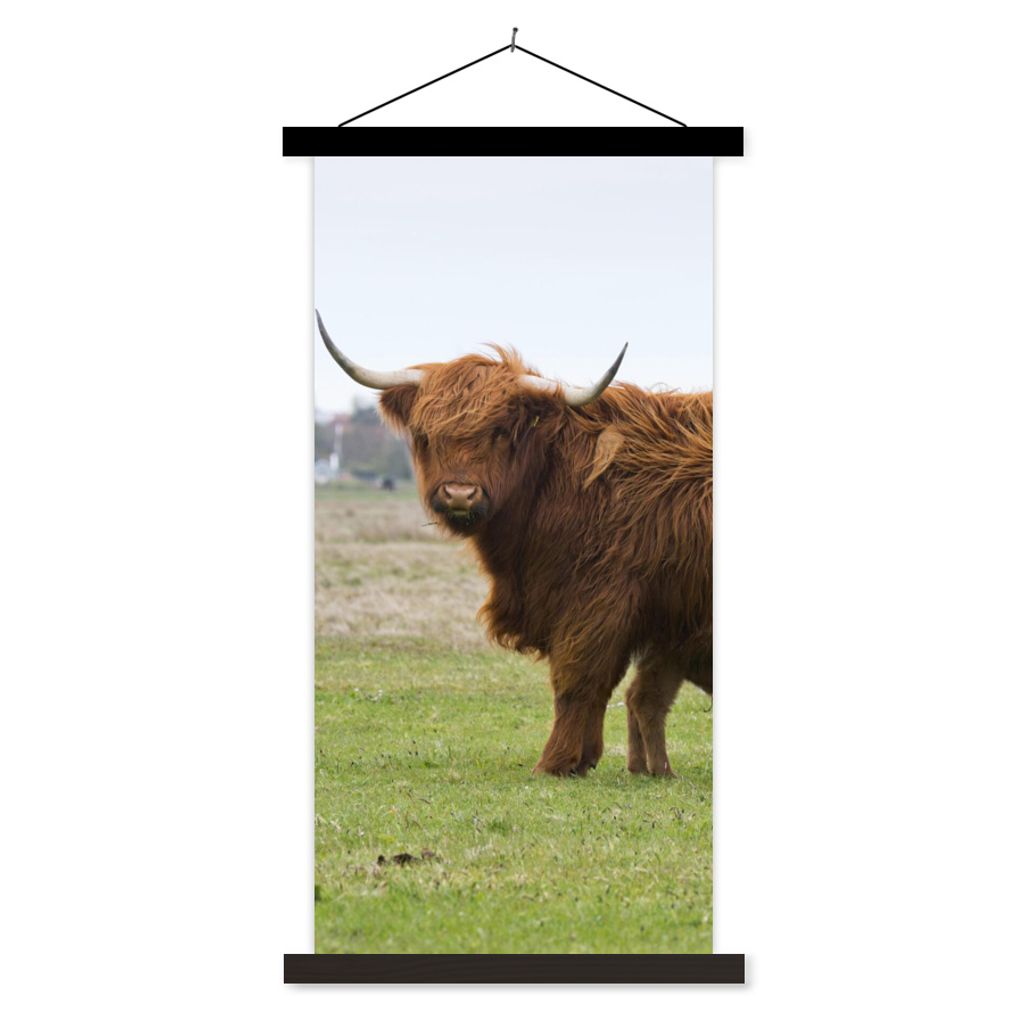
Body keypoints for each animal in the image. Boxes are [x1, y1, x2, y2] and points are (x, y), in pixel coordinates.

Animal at [317, 311, 712, 778]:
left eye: (500, 431)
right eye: (426, 433)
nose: (460, 494)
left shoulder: (598, 599)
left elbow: (577, 679)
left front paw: (555, 761)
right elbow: (597, 686)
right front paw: (584, 758)